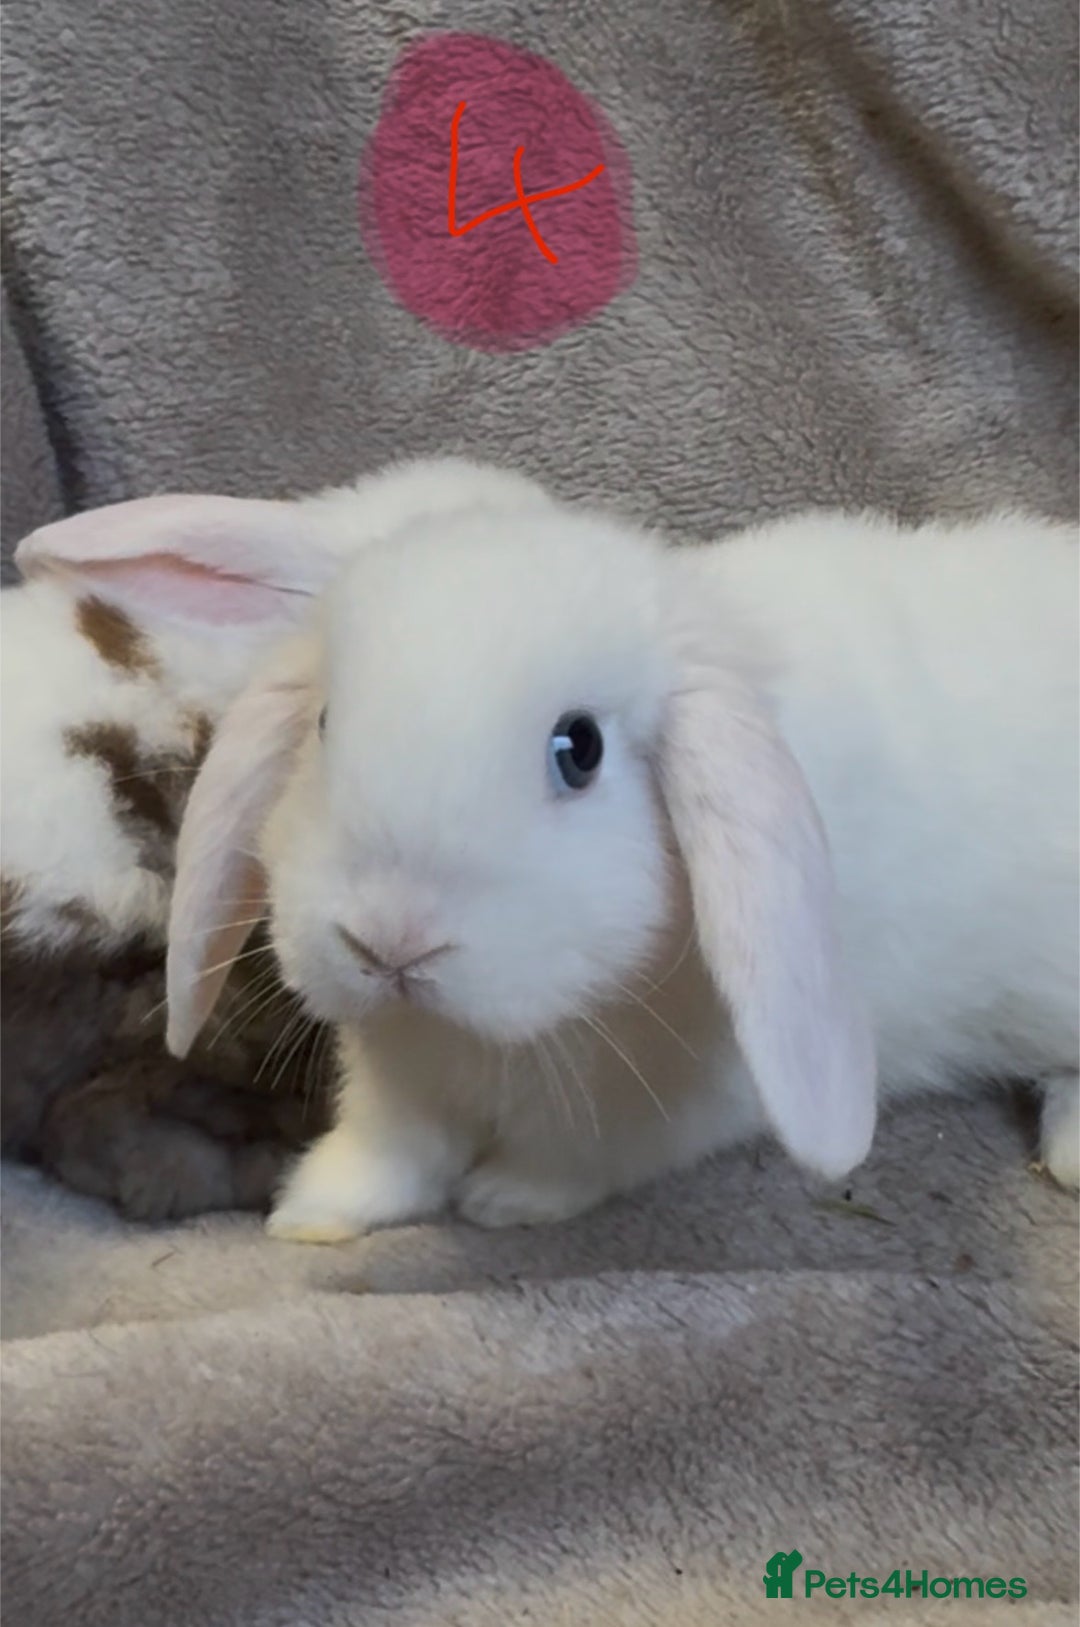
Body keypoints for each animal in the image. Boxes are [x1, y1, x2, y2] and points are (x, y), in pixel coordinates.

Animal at [162, 498, 1079, 1241]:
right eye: (323, 723)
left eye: (581, 749)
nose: (391, 942)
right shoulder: (398, 1073)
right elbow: (393, 1146)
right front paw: (312, 1212)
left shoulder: (667, 1099)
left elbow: (576, 1153)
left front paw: (506, 1200)